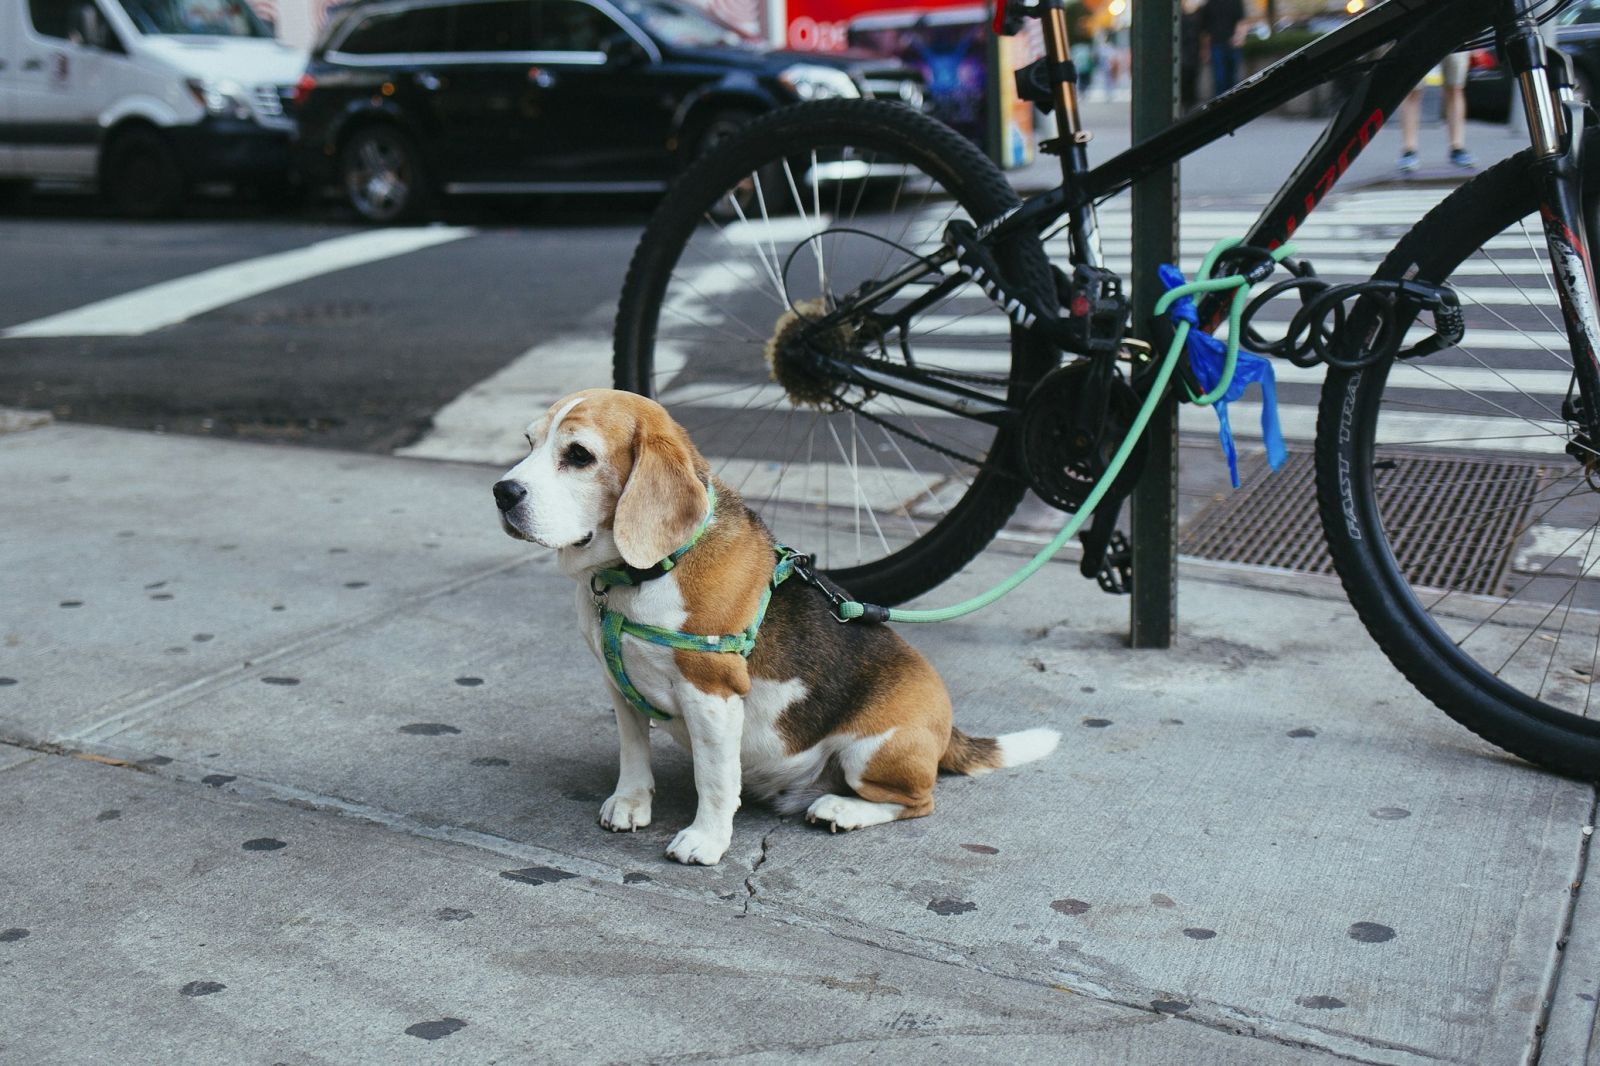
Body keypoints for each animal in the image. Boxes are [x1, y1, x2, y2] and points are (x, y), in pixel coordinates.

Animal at [492, 390, 1056, 864]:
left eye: (579, 455)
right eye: (530, 442)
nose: (502, 492)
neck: (639, 575)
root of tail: (947, 726)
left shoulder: (712, 694)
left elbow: (716, 778)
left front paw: (706, 840)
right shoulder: (619, 684)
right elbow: (634, 751)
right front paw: (631, 802)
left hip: (872, 751)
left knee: (919, 801)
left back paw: (841, 809)